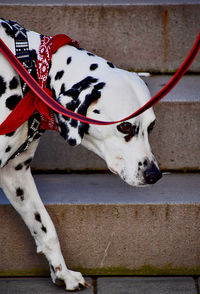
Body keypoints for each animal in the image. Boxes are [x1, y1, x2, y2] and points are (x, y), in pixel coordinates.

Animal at [0, 19, 162, 292]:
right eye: (125, 127)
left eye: (151, 126)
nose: (154, 175)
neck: (29, 66)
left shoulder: (16, 173)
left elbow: (46, 228)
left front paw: (62, 274)